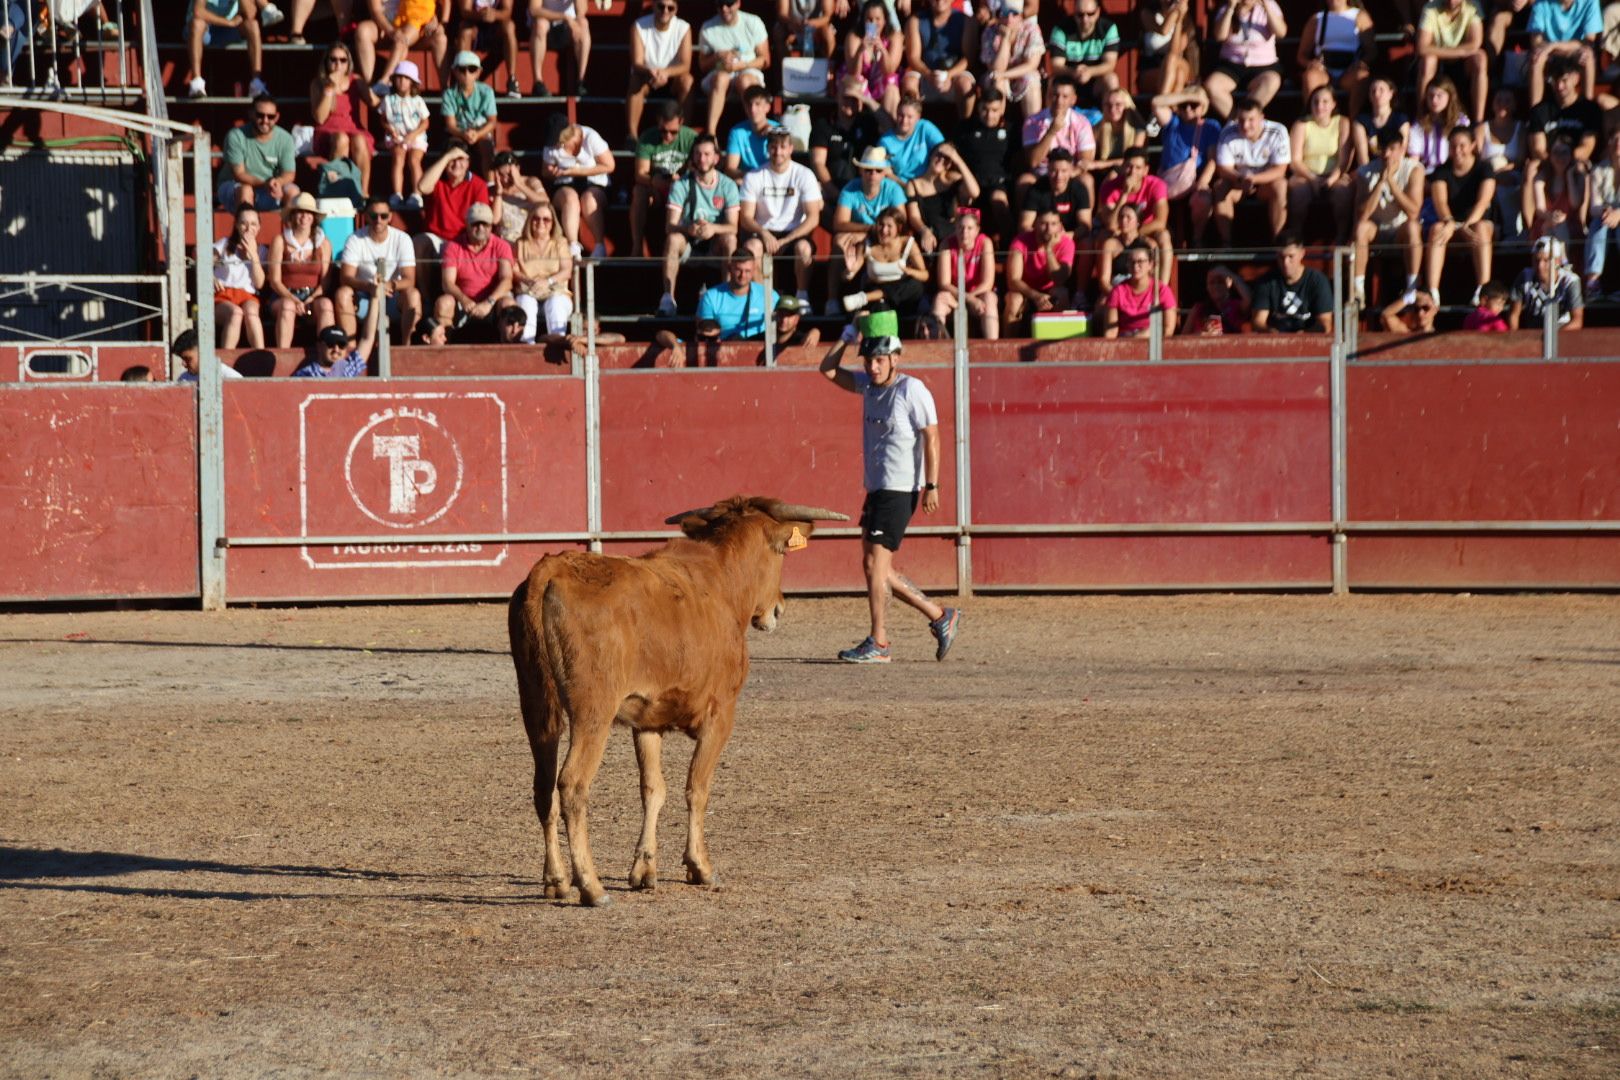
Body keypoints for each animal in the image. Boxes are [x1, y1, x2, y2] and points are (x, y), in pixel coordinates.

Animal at [508, 495, 848, 906]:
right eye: (780, 555)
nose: (778, 608)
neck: (722, 580)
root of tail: (549, 570)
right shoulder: (721, 714)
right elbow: (697, 787)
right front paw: (699, 865)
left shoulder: (647, 719)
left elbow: (653, 789)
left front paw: (644, 869)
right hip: (593, 711)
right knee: (572, 784)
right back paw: (591, 885)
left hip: (535, 703)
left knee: (543, 786)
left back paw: (556, 880)